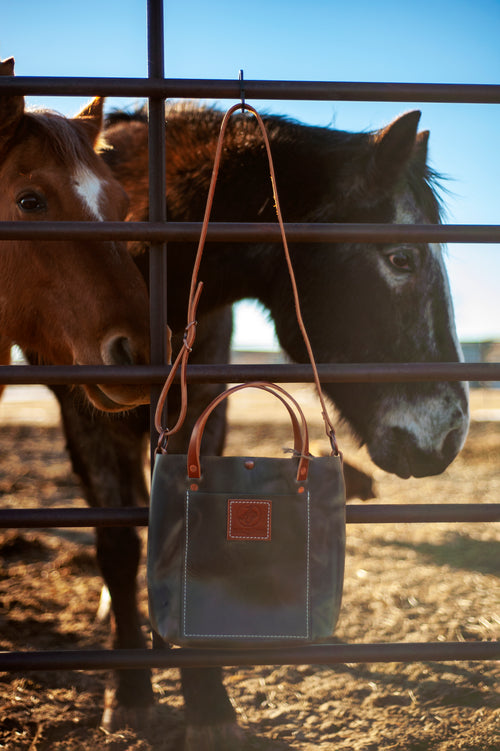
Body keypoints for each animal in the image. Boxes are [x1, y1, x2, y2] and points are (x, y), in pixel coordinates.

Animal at [37, 104, 470, 748]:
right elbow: (117, 543)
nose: (448, 434)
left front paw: (208, 705)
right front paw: (132, 694)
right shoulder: (84, 413)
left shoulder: (204, 404)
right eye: (401, 259)